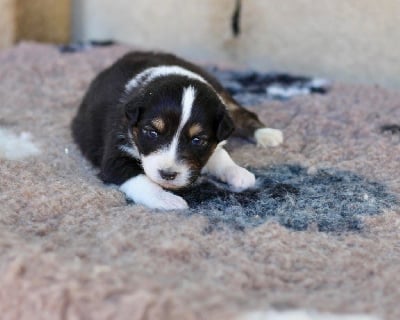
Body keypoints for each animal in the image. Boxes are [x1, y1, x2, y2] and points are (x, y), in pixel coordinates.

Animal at [72, 51, 284, 210]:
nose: (168, 175)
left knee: (242, 114)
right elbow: (142, 180)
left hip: (224, 97)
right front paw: (167, 200)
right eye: (152, 132)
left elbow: (220, 154)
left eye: (197, 140)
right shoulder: (115, 155)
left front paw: (238, 173)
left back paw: (268, 134)